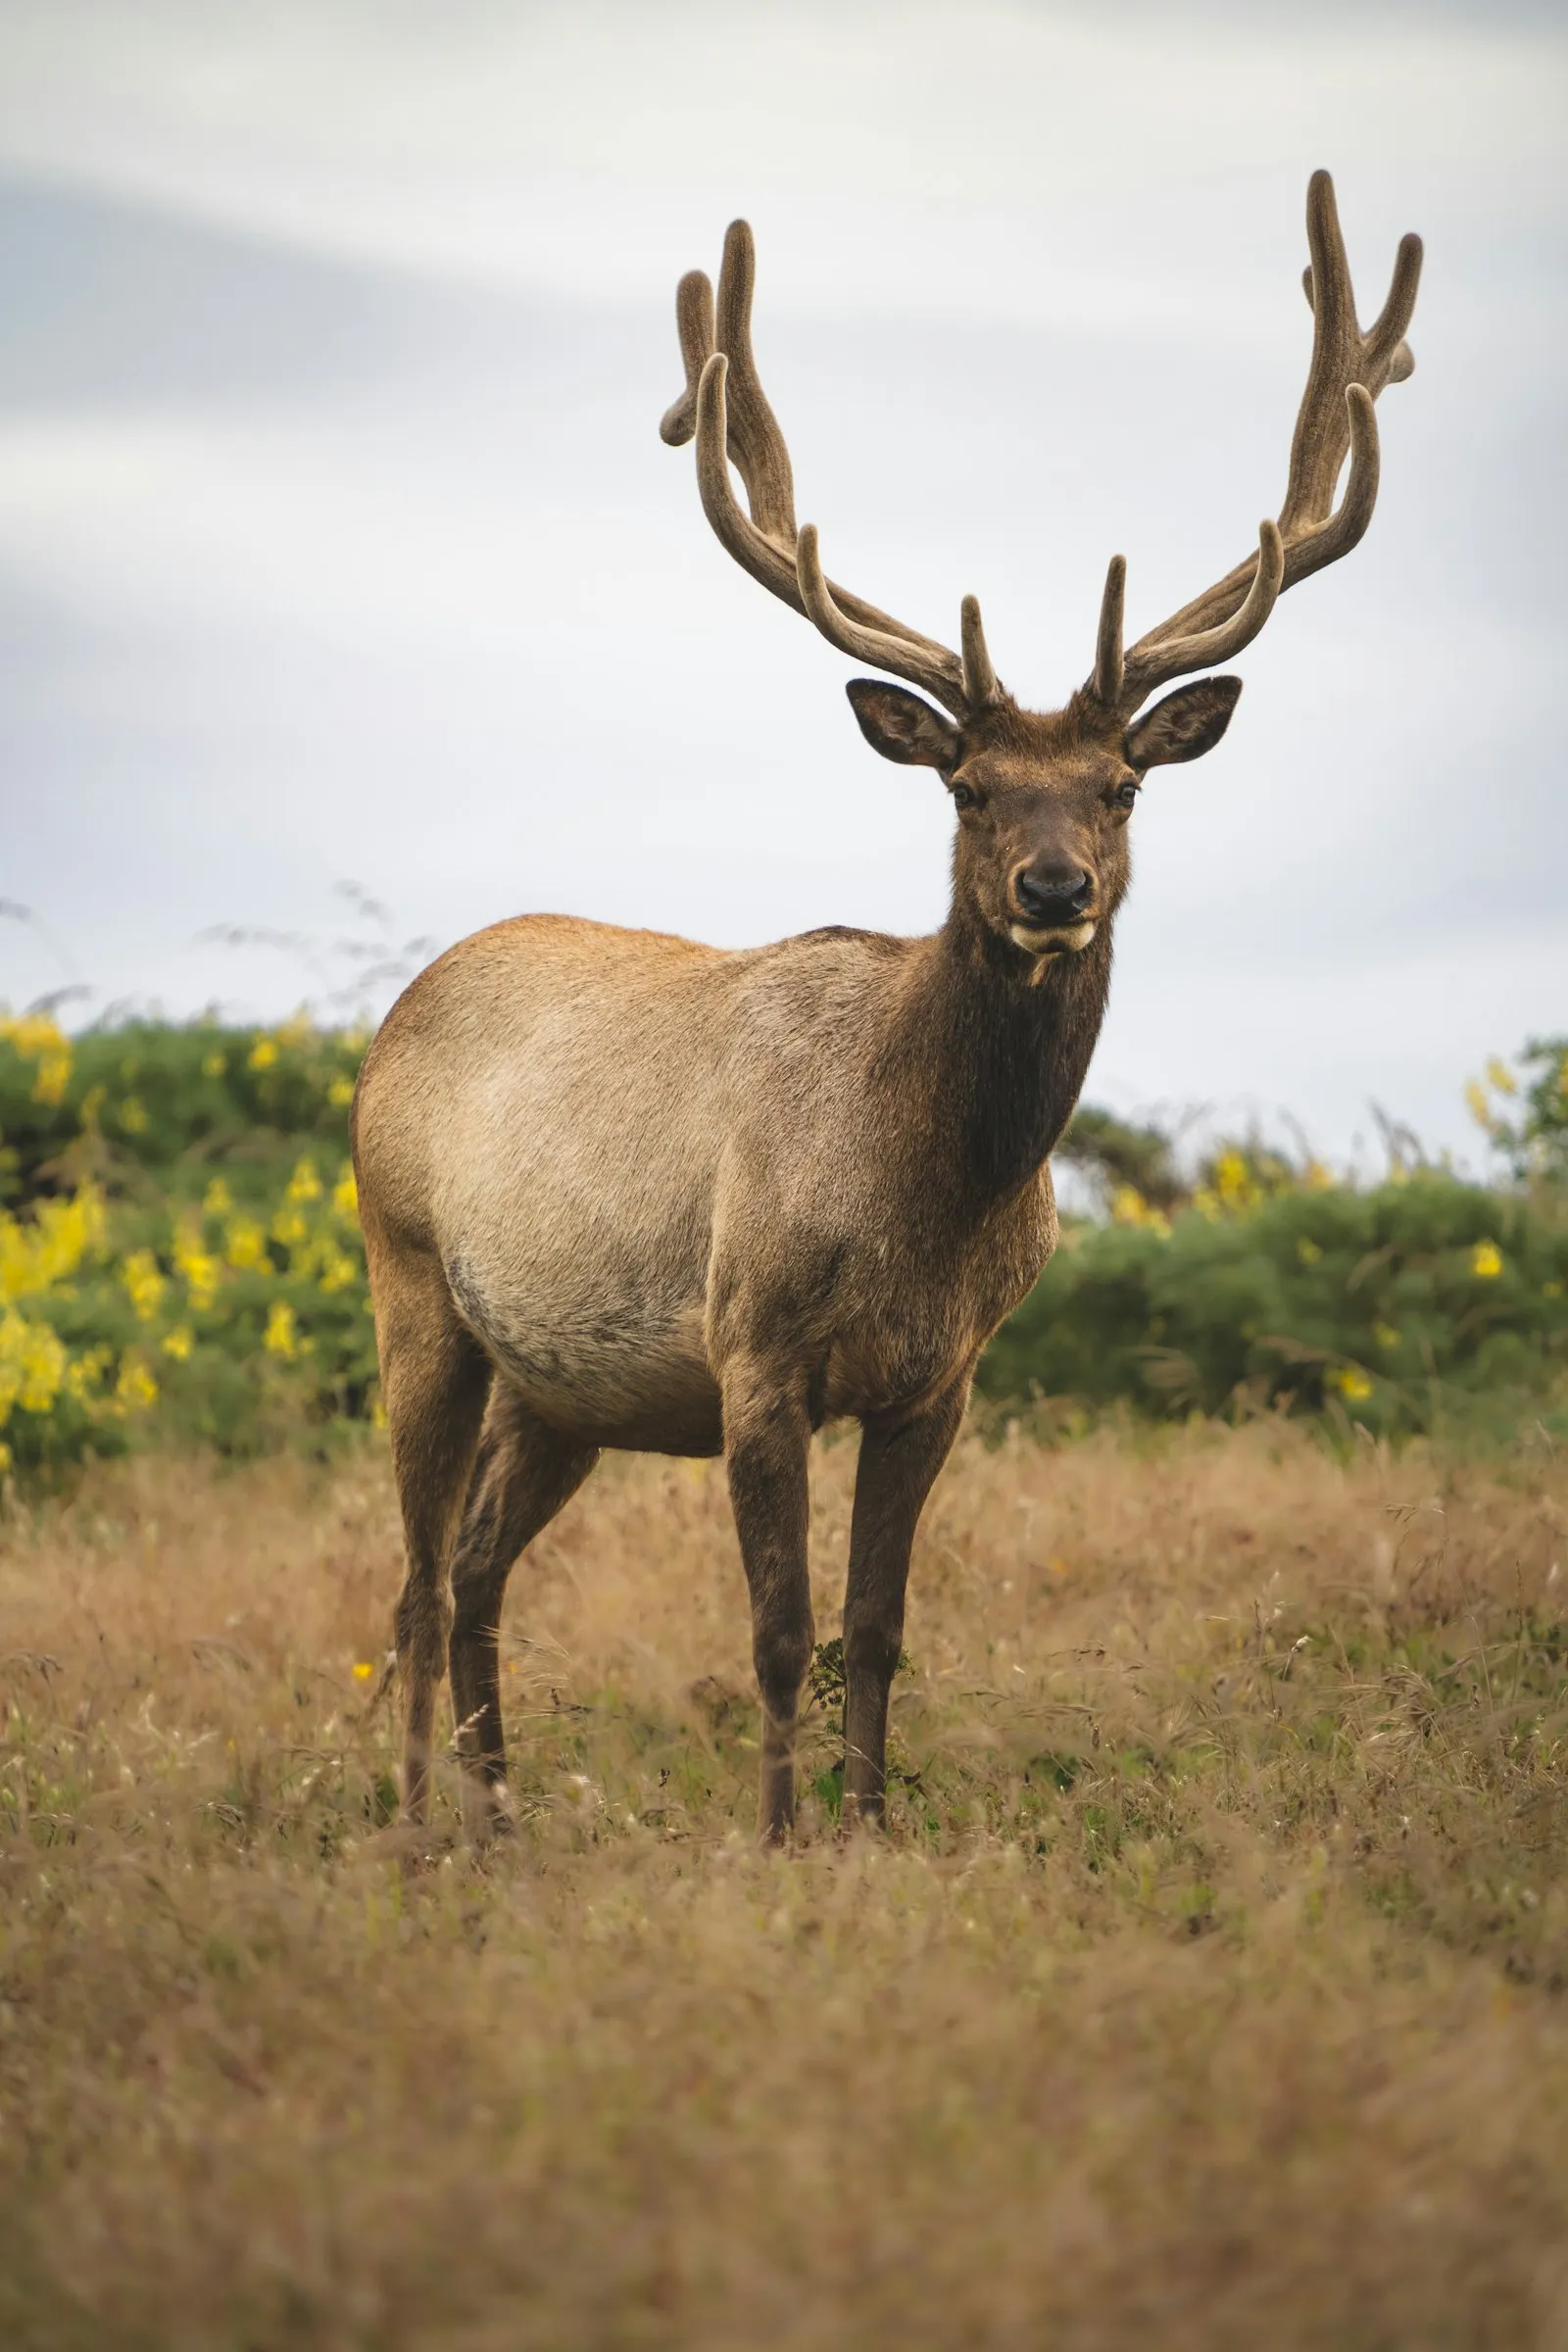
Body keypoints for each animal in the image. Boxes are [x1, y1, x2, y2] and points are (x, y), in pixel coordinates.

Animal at [351, 171, 1421, 1847]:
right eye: (969, 787)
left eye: (1119, 787)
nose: (1054, 886)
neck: (923, 1194)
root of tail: (405, 1006)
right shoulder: (754, 1346)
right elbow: (780, 1628)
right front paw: (781, 1838)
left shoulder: (945, 1379)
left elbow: (878, 1626)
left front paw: (864, 1833)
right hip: (410, 1279)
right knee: (403, 1576)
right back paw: (414, 1825)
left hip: (561, 1381)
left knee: (468, 1570)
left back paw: (502, 1814)